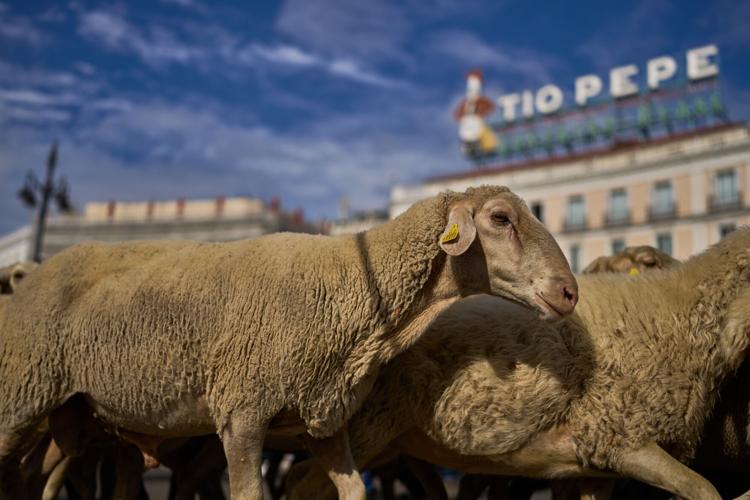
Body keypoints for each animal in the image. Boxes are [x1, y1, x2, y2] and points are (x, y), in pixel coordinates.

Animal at [0, 185, 578, 500]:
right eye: (501, 219)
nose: (569, 292)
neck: (358, 287)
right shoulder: (242, 411)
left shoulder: (322, 418)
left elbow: (353, 487)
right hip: (21, 399)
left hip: (76, 418)